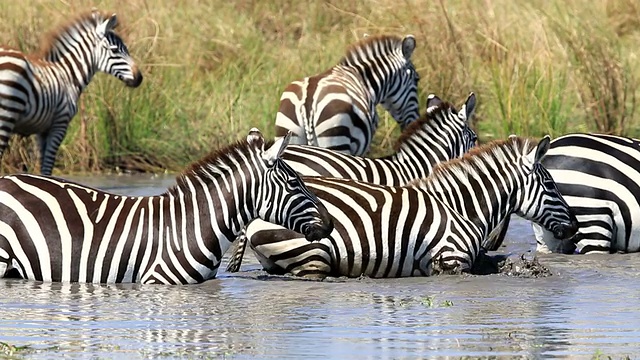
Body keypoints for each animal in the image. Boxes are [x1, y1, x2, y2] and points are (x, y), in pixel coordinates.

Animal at [0, 9, 142, 176]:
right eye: (115, 50)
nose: (139, 78)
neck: (68, 75)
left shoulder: (42, 130)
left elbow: (42, 166)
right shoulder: (60, 124)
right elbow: (48, 167)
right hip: (6, 115)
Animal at [231, 135, 580, 278]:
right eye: (551, 186)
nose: (576, 228)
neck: (461, 208)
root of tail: (253, 219)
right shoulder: (448, 263)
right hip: (312, 254)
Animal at [274, 33, 420, 156]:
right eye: (417, 80)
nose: (415, 122)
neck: (364, 80)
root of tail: (307, 104)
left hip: (288, 133)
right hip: (336, 139)